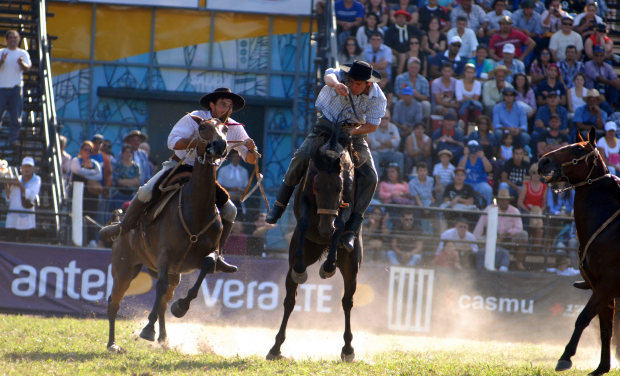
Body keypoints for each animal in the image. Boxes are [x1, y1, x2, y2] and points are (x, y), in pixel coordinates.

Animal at [106, 117, 230, 352]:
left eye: (226, 128)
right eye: (202, 128)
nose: (220, 145)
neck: (196, 210)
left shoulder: (209, 252)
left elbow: (208, 264)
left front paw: (180, 307)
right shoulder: (165, 254)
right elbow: (160, 286)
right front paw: (147, 329)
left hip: (174, 274)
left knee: (163, 302)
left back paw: (163, 338)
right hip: (124, 269)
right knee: (114, 302)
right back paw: (112, 344)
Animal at [264, 125, 360, 362]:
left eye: (339, 188)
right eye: (316, 185)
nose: (325, 230)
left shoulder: (347, 204)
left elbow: (341, 223)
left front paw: (329, 266)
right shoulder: (305, 200)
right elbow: (305, 220)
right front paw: (301, 267)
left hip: (351, 267)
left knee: (347, 302)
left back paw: (348, 349)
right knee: (290, 300)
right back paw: (275, 348)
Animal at [536, 127, 620, 376]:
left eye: (579, 150)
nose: (543, 161)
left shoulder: (607, 286)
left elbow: (582, 318)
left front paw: (565, 357)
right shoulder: (600, 288)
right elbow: (605, 329)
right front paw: (601, 368)